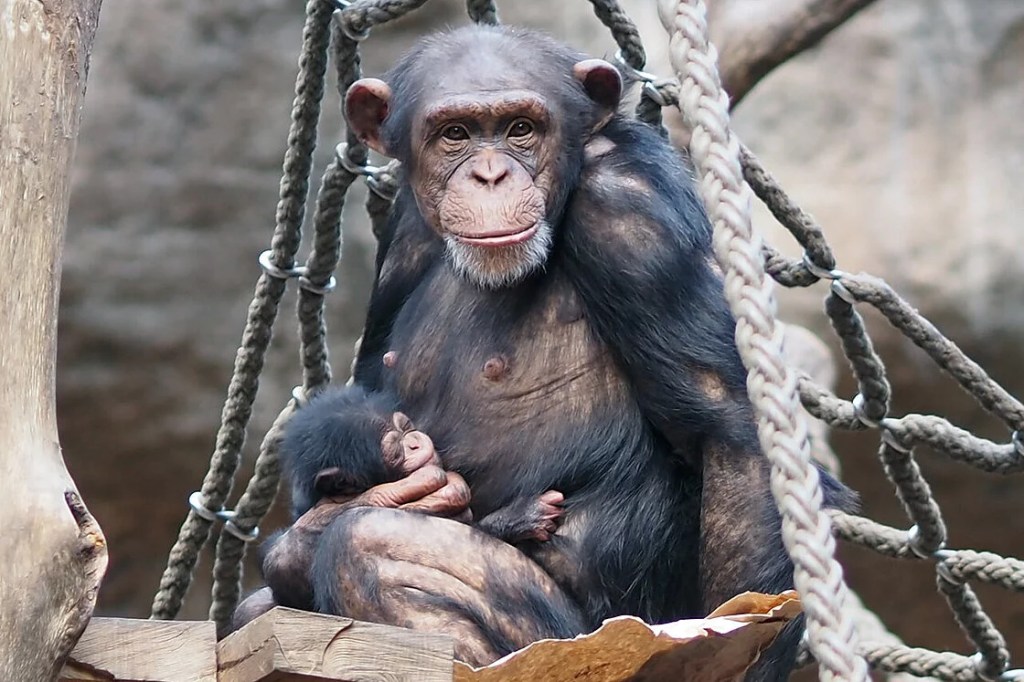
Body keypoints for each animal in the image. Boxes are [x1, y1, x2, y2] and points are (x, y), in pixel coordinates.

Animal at [235, 23, 851, 675]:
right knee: (262, 606)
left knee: (371, 544)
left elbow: (730, 428)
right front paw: (310, 527)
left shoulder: (630, 208)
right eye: (455, 134)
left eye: (520, 128)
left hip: (586, 638)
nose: (490, 175)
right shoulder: (403, 228)